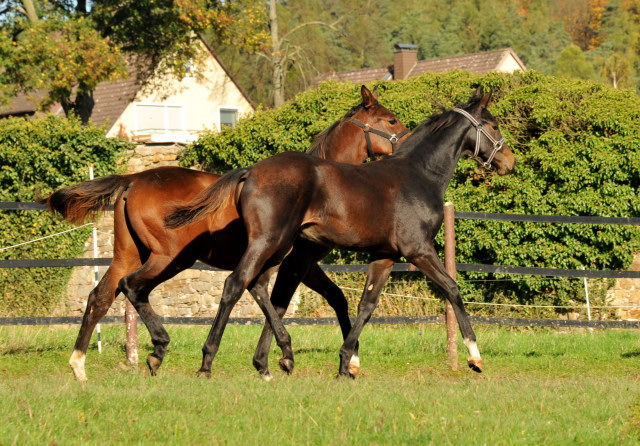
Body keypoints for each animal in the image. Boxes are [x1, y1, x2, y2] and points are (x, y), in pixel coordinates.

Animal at [45, 85, 408, 382]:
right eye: (391, 120)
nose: (406, 145)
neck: (319, 184)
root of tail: (132, 180)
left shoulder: (301, 264)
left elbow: (326, 298)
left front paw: (343, 360)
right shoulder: (296, 262)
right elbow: (279, 303)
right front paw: (295, 360)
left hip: (129, 254)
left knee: (100, 296)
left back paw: (79, 365)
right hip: (170, 258)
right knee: (132, 287)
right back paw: (159, 348)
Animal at [166, 87, 516, 376]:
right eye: (494, 125)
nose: (509, 161)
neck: (418, 175)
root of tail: (250, 170)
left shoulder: (384, 256)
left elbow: (365, 304)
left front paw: (347, 360)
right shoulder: (418, 249)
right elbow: (452, 289)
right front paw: (474, 356)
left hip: (276, 248)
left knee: (258, 287)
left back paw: (268, 362)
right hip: (269, 243)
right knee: (236, 284)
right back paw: (209, 361)